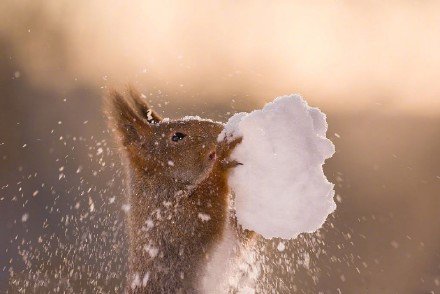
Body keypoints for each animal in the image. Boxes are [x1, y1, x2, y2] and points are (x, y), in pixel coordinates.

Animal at [104, 88, 253, 292]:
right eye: (177, 136)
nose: (220, 129)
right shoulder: (173, 226)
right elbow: (207, 213)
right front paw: (221, 159)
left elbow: (243, 234)